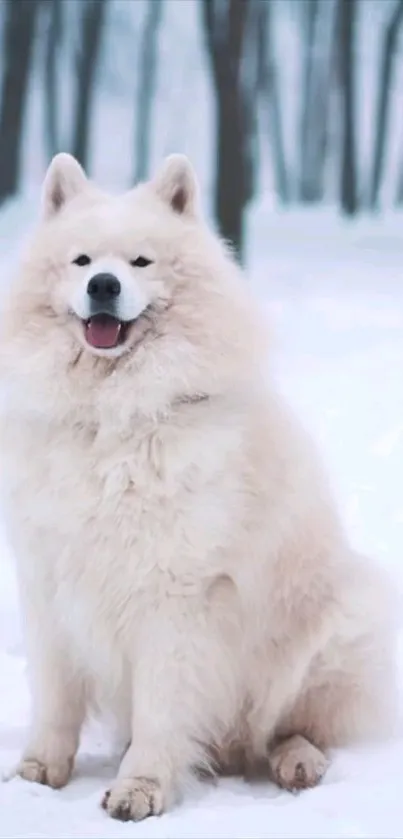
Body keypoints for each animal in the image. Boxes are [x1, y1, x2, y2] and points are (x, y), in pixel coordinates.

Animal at [0, 153, 398, 820]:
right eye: (82, 261)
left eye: (140, 262)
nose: (102, 285)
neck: (114, 418)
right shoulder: (50, 583)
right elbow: (56, 699)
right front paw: (37, 773)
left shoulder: (176, 599)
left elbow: (162, 711)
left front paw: (140, 788)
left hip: (334, 627)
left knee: (294, 728)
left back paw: (297, 761)